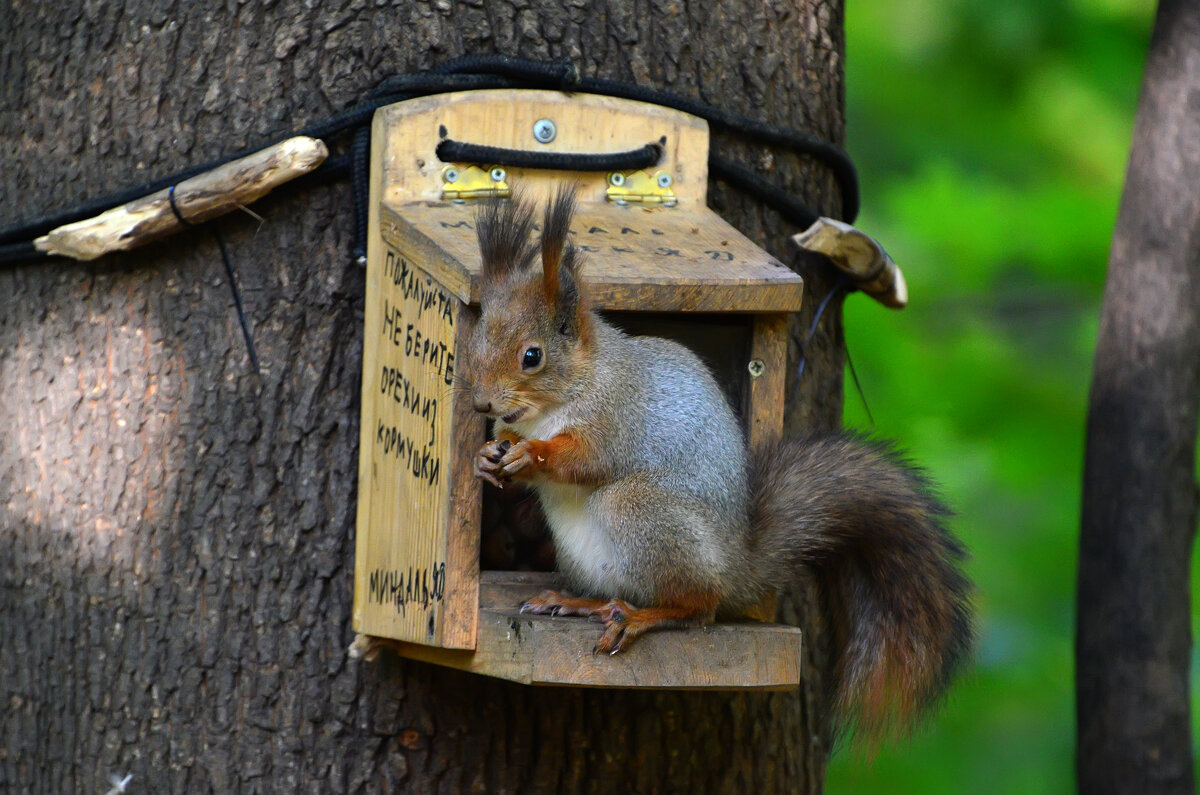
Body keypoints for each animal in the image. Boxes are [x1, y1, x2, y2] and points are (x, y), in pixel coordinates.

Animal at [463, 188, 969, 739]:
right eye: (477, 343)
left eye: (532, 356)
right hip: (586, 557)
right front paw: (489, 456)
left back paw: (641, 617)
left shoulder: (617, 416)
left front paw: (531, 454)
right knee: (627, 592)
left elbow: (585, 459)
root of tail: (735, 567)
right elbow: (509, 443)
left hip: (639, 509)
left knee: (697, 607)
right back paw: (581, 602)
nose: (482, 404)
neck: (555, 404)